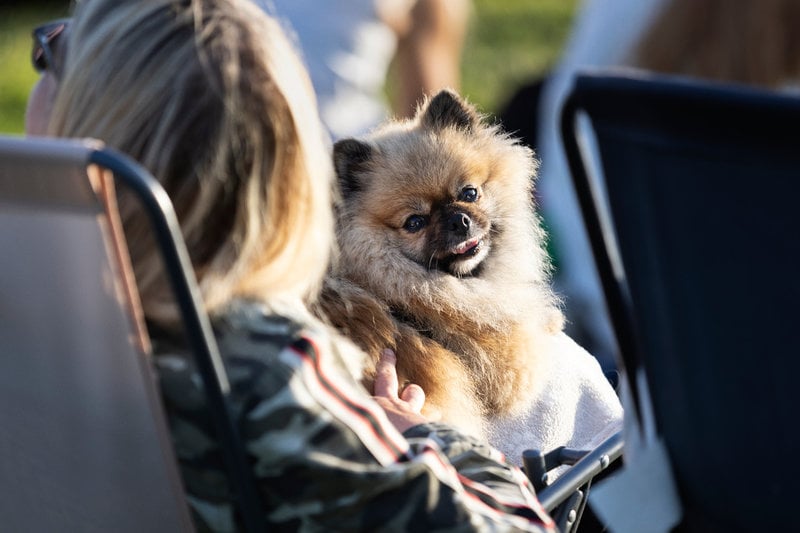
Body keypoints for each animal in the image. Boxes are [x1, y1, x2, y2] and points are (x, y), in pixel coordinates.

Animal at [317, 89, 622, 463]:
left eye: (469, 193)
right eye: (415, 222)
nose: (458, 220)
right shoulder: (514, 363)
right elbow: (529, 326)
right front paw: (550, 318)